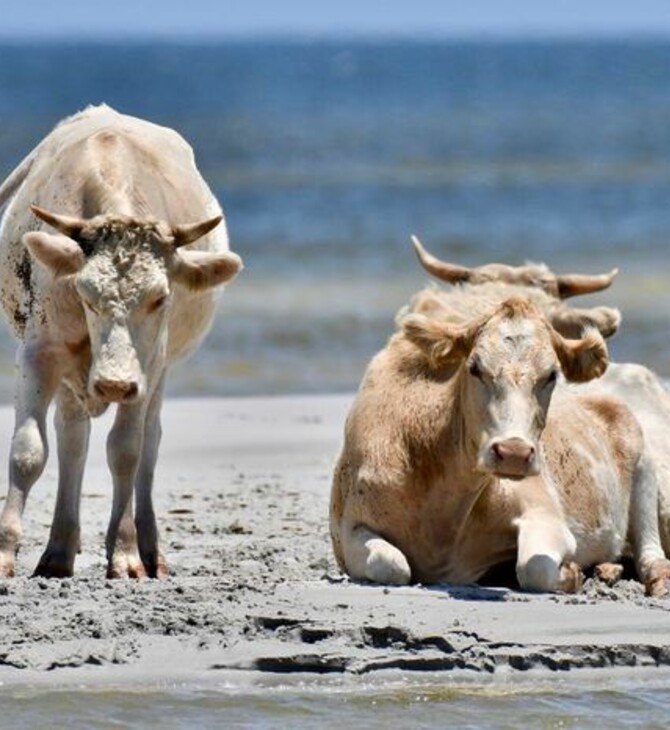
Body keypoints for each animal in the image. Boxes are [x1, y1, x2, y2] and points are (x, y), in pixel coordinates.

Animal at [0, 105, 244, 576]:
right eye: (84, 293)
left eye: (161, 297)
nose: (113, 384)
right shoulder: (40, 351)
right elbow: (28, 450)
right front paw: (4, 554)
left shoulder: (147, 367)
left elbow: (125, 452)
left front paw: (127, 556)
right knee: (72, 437)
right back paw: (59, 550)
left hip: (159, 372)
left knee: (149, 442)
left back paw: (147, 549)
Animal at [330, 292, 668, 596]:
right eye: (474, 367)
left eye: (551, 375)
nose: (514, 453)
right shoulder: (348, 530)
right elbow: (391, 565)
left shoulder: (546, 514)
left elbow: (534, 568)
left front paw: (572, 572)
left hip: (644, 467)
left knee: (650, 551)